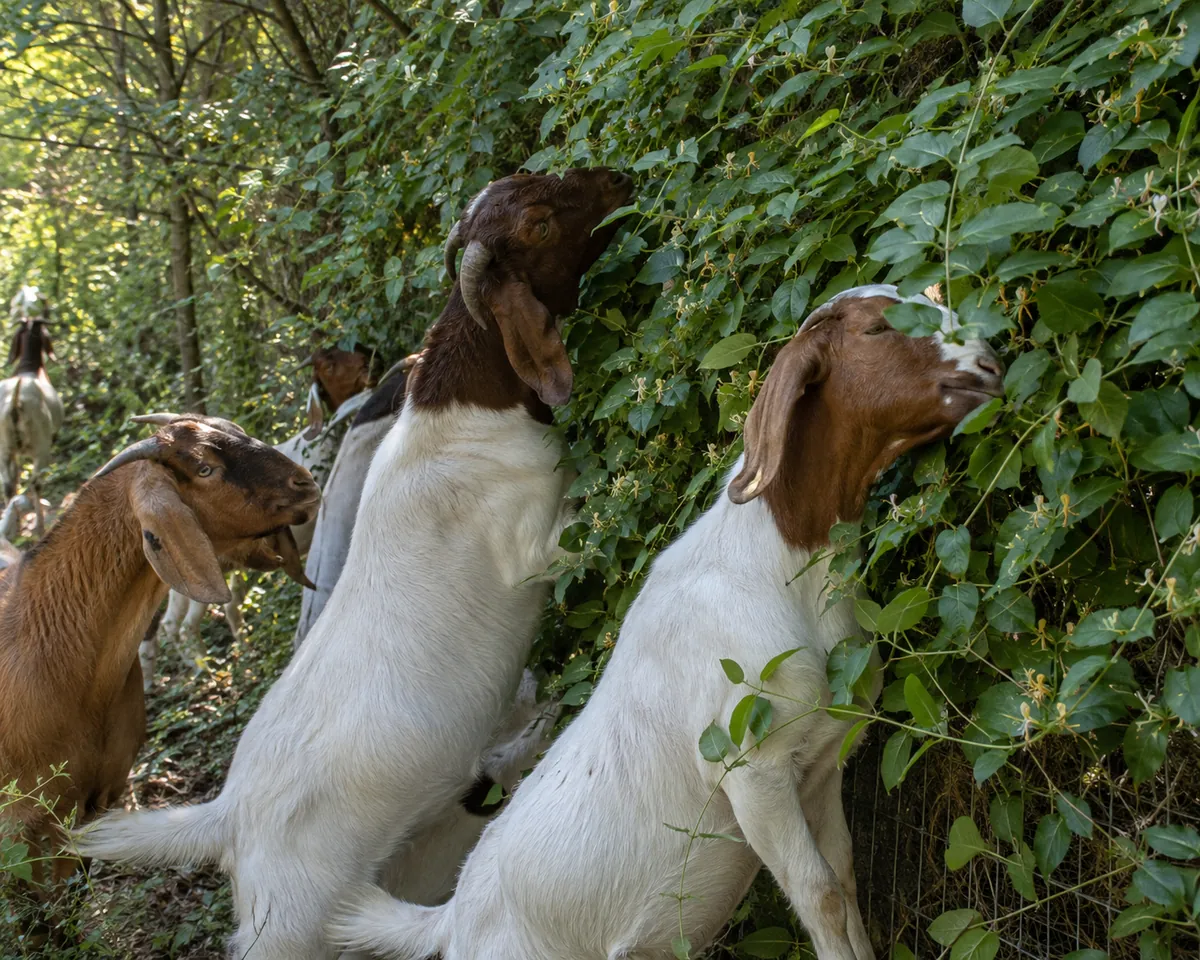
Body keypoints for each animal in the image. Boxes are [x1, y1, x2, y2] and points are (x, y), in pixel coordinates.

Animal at [0, 286, 64, 537]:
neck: (29, 369)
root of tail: (15, 403)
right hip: (41, 445)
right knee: (36, 482)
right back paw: (39, 526)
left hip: (5, 447)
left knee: (8, 485)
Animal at [328, 284, 1006, 960]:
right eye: (875, 330)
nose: (992, 365)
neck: (780, 564)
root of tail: (451, 919)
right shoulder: (751, 768)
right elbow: (822, 898)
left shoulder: (818, 765)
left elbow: (843, 877)